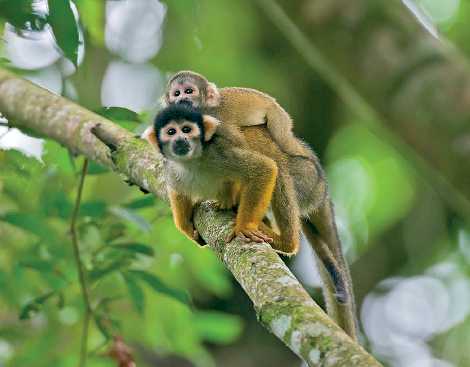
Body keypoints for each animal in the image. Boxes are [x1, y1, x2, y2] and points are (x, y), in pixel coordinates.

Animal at [141, 103, 278, 246]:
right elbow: (177, 191)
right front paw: (186, 227)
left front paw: (245, 227)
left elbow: (263, 168)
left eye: (186, 129)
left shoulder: (218, 153)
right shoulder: (172, 170)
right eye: (171, 132)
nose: (179, 139)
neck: (192, 161)